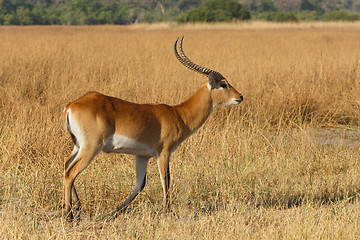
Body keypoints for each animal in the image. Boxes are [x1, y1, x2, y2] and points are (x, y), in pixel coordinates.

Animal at [63, 36, 243, 221]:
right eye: (223, 84)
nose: (240, 97)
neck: (178, 114)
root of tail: (72, 105)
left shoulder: (142, 156)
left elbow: (140, 185)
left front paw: (115, 211)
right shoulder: (163, 152)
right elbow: (166, 180)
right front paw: (168, 212)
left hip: (78, 146)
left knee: (65, 165)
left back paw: (78, 208)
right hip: (91, 147)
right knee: (70, 173)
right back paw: (69, 215)